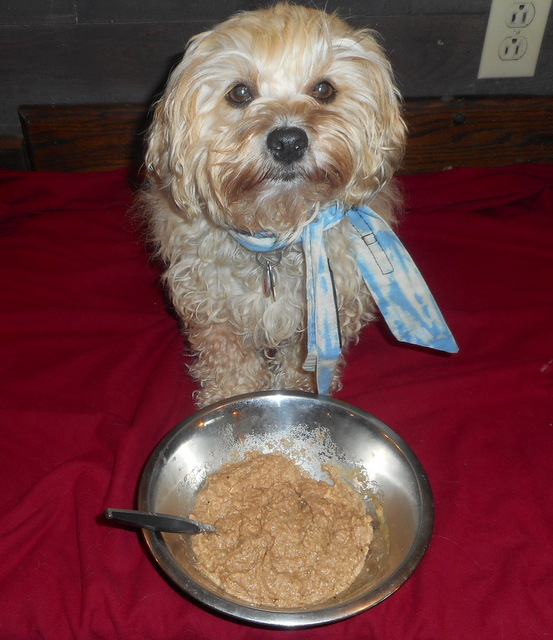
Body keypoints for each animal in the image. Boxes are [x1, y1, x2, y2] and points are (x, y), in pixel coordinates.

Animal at [142, 2, 458, 408]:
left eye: (324, 89)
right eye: (239, 92)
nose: (288, 141)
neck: (277, 230)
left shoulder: (327, 307)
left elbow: (303, 361)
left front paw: (299, 391)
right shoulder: (211, 303)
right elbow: (228, 359)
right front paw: (229, 397)